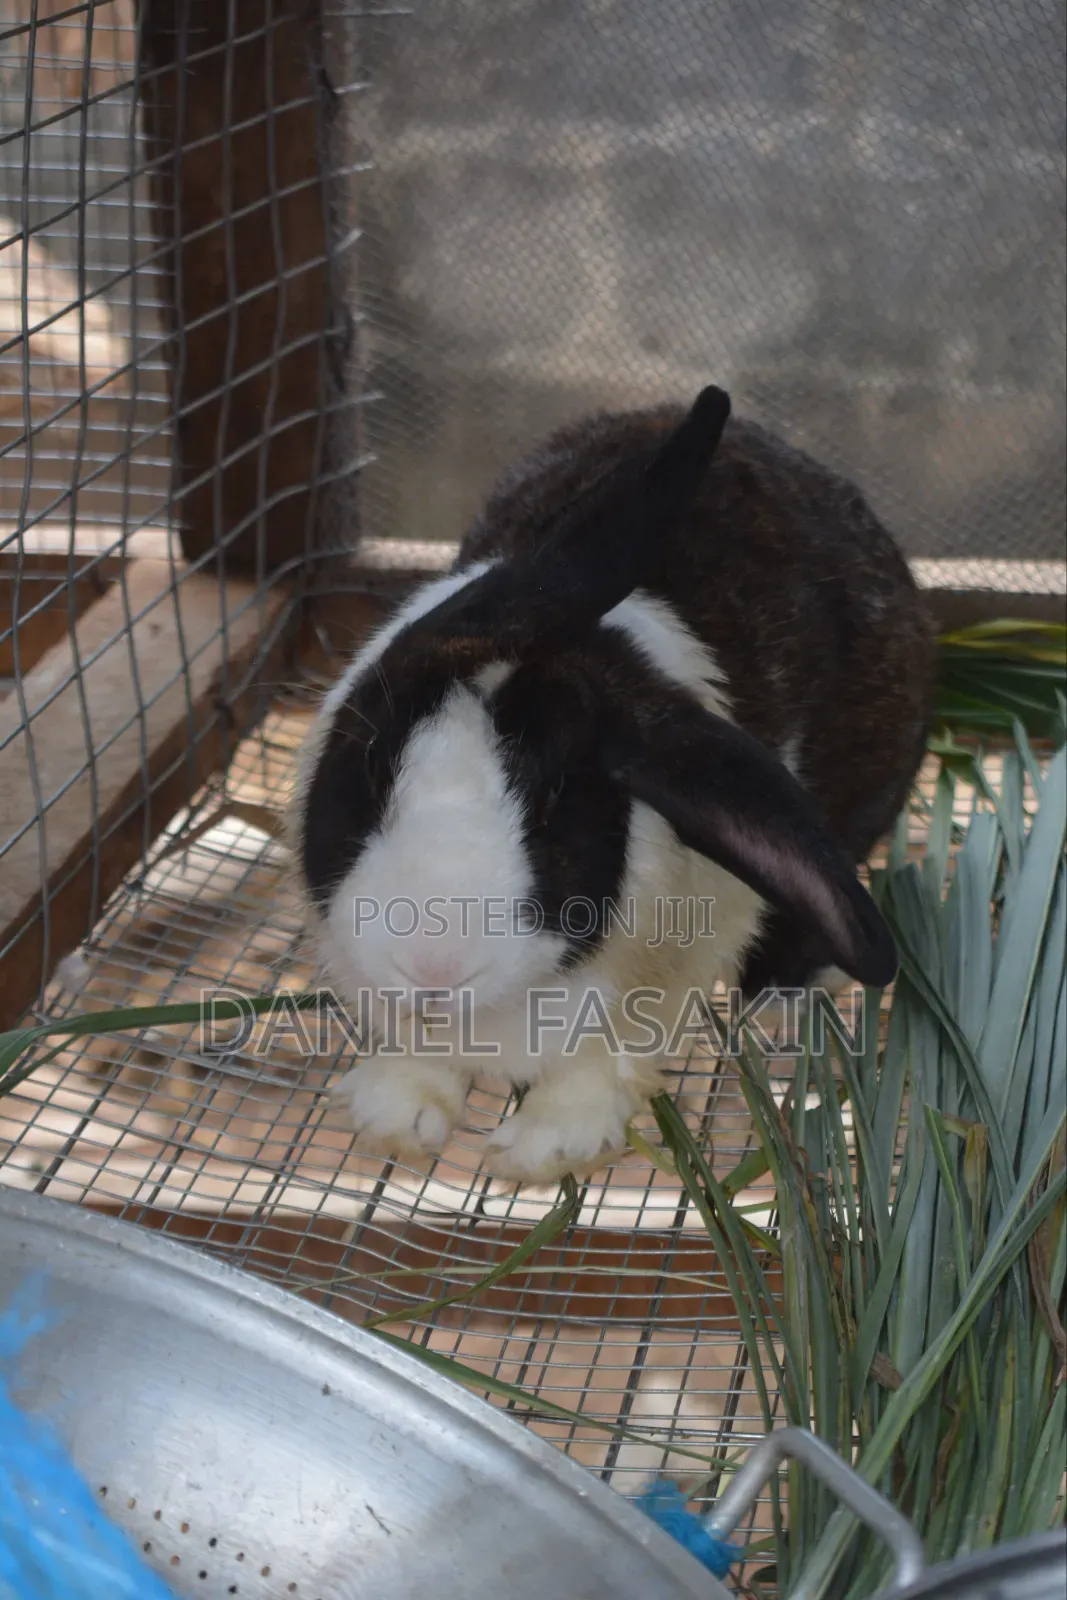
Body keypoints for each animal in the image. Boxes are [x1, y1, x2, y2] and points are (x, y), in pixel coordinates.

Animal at [290, 385, 938, 1184]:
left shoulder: (666, 978)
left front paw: (541, 1150)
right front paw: (396, 1119)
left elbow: (603, 1064)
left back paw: (782, 990)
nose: (431, 969)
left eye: (554, 804)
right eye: (374, 768)